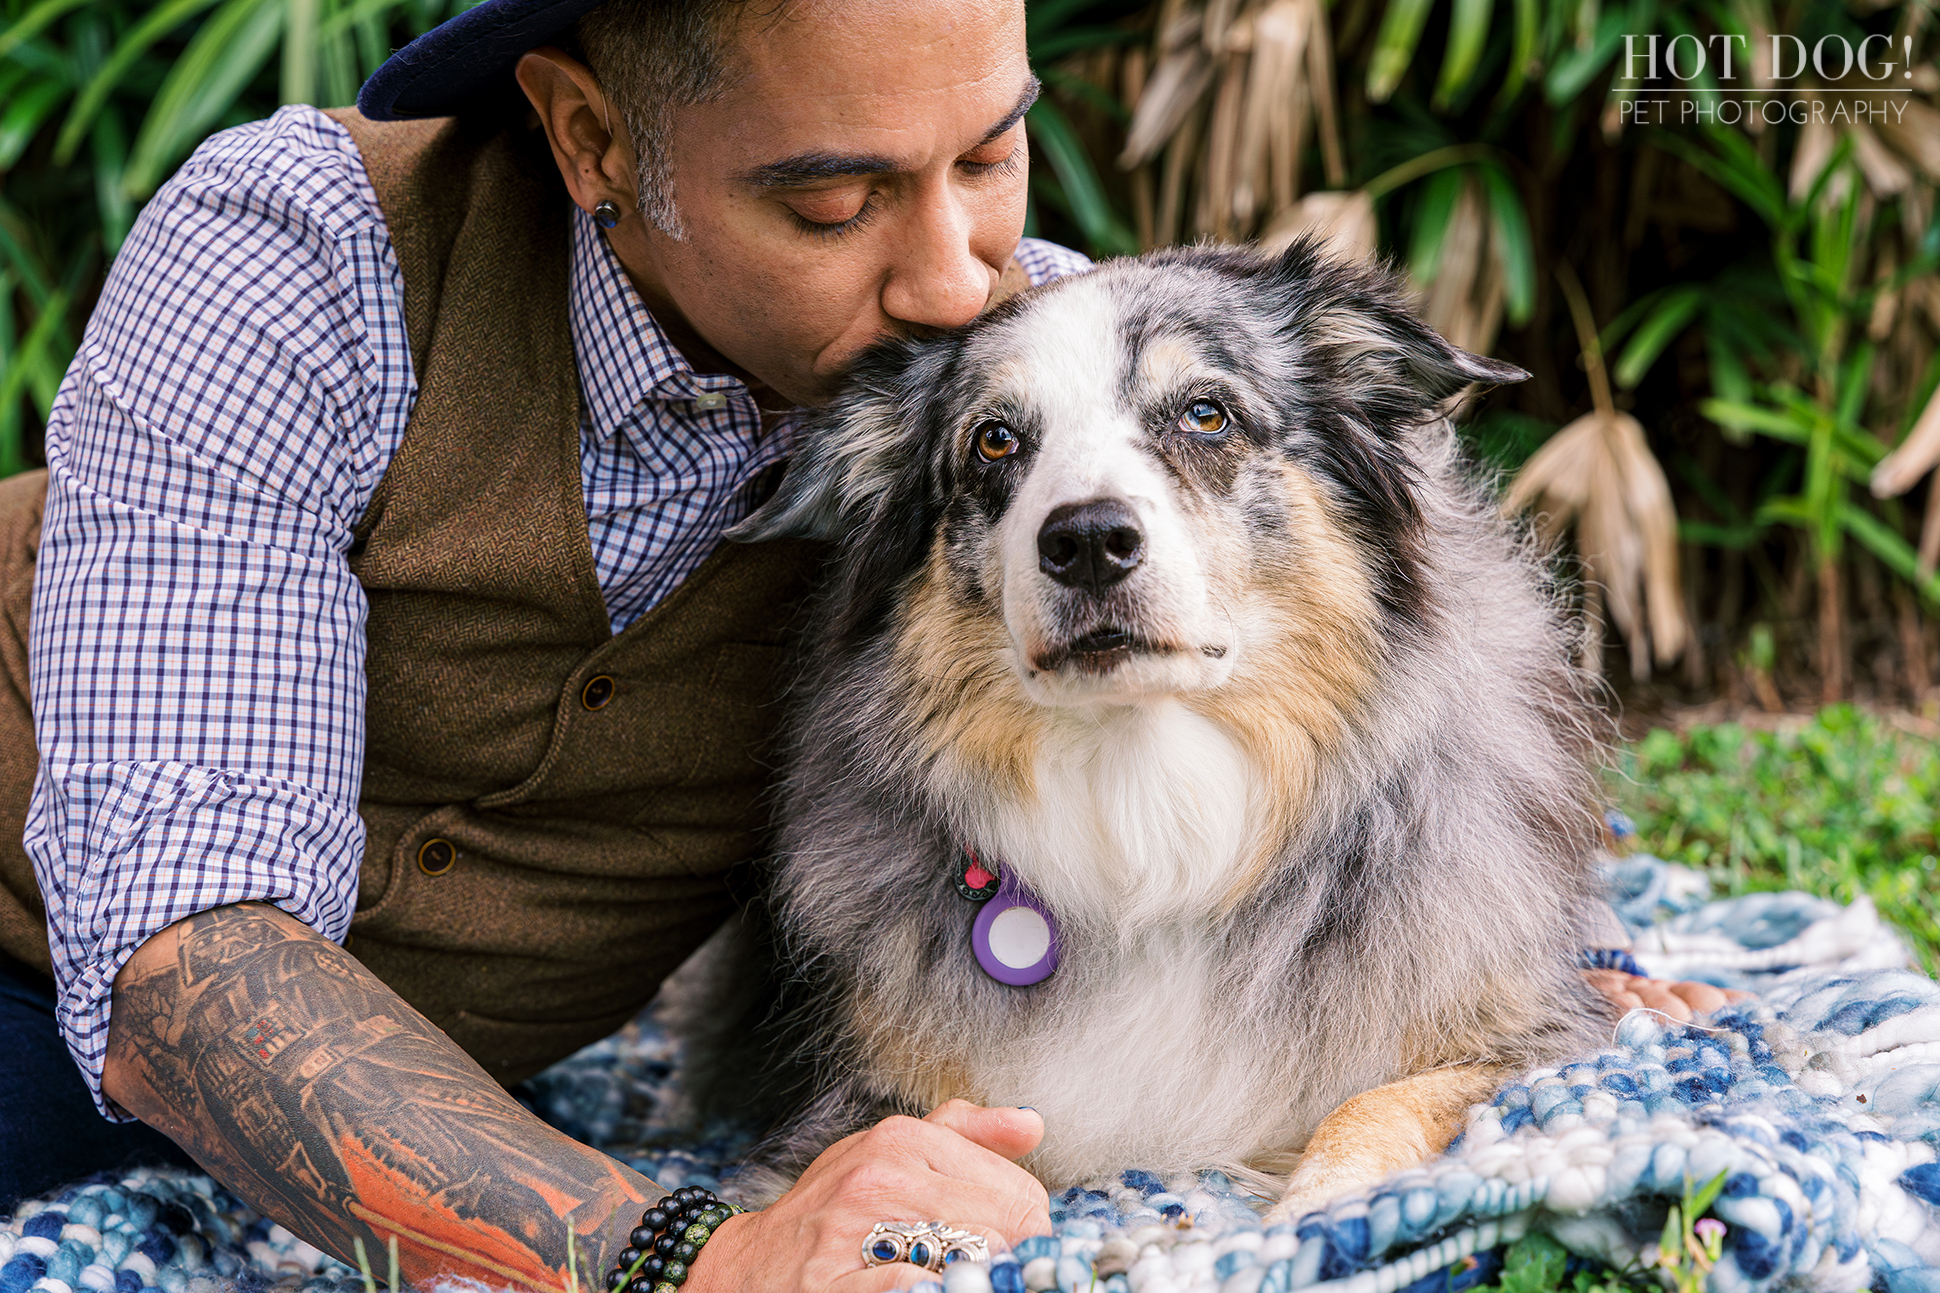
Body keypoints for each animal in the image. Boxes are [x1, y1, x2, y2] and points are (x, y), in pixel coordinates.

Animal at [706, 244, 1614, 1219]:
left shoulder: (1544, 1033)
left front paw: (1316, 1210)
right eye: (995, 440)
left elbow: (1383, 1099)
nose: (1087, 541)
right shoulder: (850, 1106)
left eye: (1205, 414)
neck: (1149, 807)